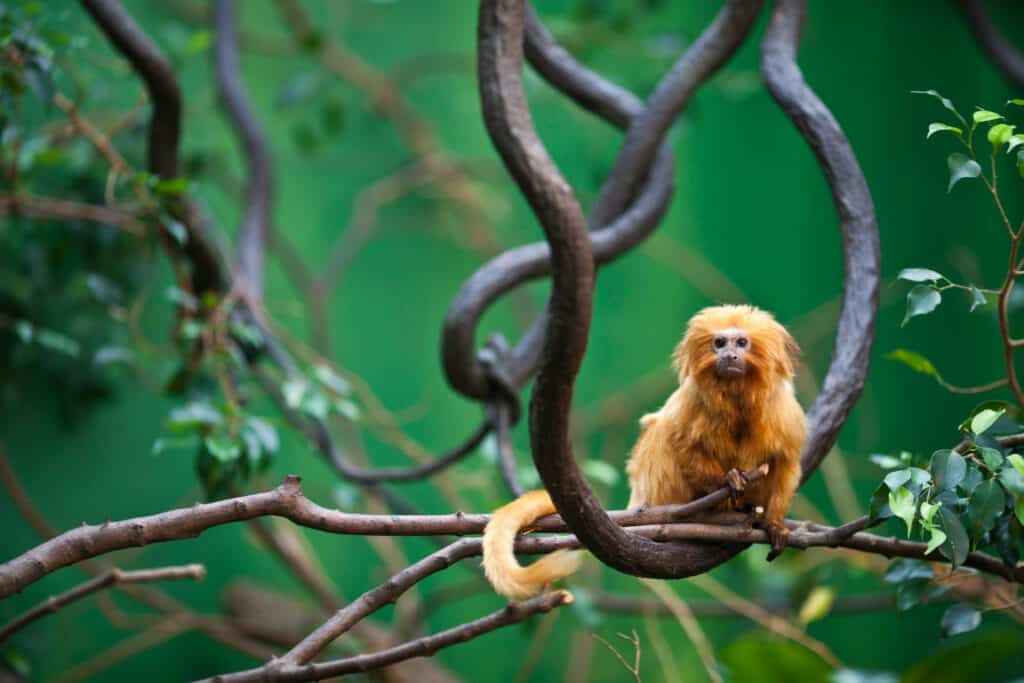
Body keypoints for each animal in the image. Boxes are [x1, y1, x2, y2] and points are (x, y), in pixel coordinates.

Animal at [479, 305, 806, 598]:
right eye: (719, 343)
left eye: (741, 343)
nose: (729, 356)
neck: (738, 402)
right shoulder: (692, 400)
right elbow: (679, 441)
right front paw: (726, 481)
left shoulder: (783, 414)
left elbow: (787, 463)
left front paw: (775, 524)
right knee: (659, 433)